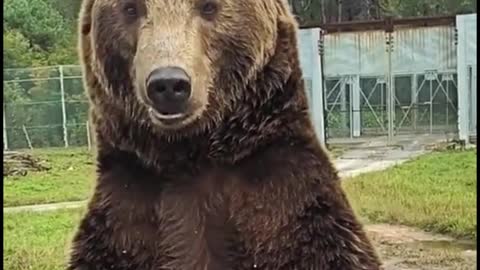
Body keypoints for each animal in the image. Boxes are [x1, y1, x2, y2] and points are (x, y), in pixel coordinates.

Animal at [68, 0, 382, 268]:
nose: (168, 84)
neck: (192, 155)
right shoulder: (124, 221)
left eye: (208, 7)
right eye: (130, 8)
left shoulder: (291, 208)